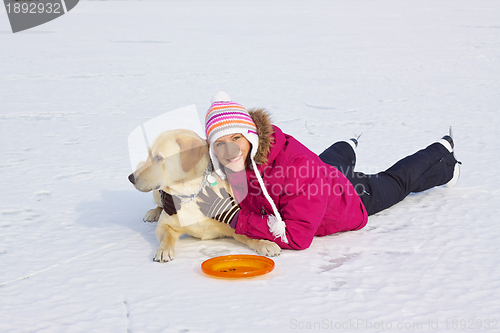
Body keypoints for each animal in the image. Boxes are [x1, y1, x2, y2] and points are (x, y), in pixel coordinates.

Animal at [128, 128, 282, 260]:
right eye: (149, 155)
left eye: (158, 158)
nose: (130, 178)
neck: (190, 191)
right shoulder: (166, 224)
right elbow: (166, 237)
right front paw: (163, 249)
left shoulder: (234, 224)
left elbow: (250, 235)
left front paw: (265, 243)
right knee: (159, 203)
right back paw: (153, 212)